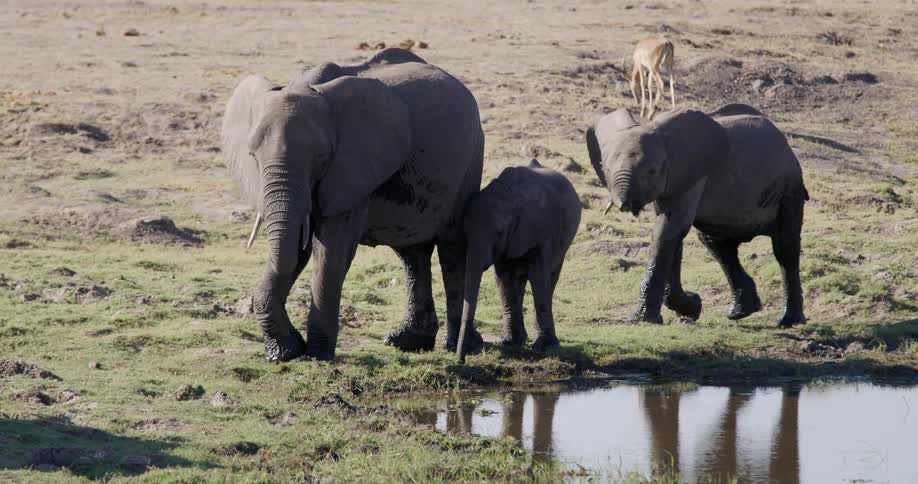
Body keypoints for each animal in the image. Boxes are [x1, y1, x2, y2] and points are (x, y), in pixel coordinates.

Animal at [221, 48, 484, 362]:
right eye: (252, 155)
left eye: (321, 157)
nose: (292, 349)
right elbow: (298, 247)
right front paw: (284, 352)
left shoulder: (352, 168)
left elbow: (331, 253)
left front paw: (317, 355)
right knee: (412, 253)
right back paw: (406, 342)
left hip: (470, 159)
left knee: (451, 248)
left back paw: (462, 347)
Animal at [456, 160, 582, 361]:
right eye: (465, 233)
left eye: (499, 232)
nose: (461, 359)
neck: (510, 197)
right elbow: (504, 278)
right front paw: (509, 342)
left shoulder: (539, 228)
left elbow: (538, 275)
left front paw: (544, 346)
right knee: (519, 279)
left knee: (550, 277)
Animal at [585, 103, 808, 327]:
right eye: (605, 168)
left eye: (652, 171)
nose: (626, 205)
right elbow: (672, 232)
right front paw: (692, 308)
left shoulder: (693, 175)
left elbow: (668, 229)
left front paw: (643, 320)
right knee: (717, 246)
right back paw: (740, 311)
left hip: (789, 190)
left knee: (785, 248)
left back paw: (788, 321)